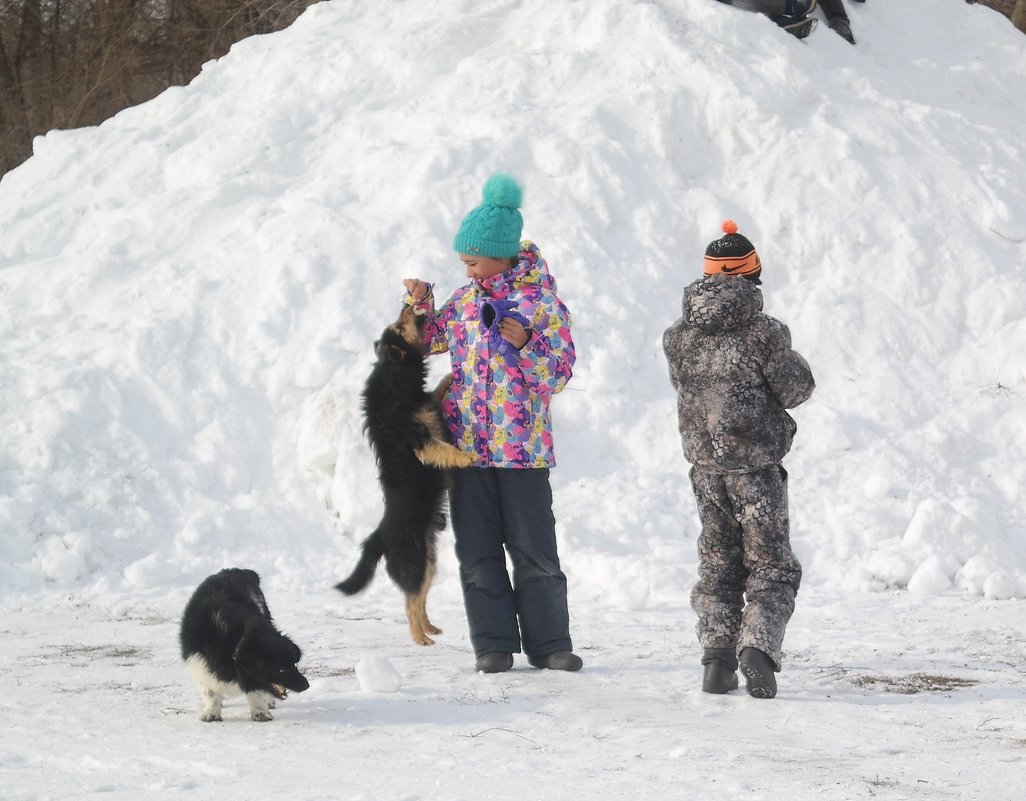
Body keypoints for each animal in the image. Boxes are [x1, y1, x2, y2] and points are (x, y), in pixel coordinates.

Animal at [180, 566, 307, 722]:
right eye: (281, 669)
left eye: (294, 664)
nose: (306, 685)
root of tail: (239, 570)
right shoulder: (199, 661)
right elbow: (209, 690)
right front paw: (211, 712)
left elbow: (257, 692)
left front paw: (261, 713)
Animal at [338, 303, 478, 648]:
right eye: (400, 329)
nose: (408, 305)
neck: (394, 380)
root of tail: (379, 536)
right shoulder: (420, 440)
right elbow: (444, 449)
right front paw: (468, 456)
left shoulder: (427, 412)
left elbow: (436, 394)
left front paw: (448, 377)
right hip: (414, 562)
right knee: (409, 602)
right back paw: (419, 637)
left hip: (428, 563)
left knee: (419, 599)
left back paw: (429, 628)